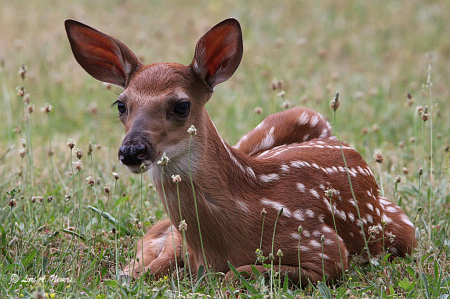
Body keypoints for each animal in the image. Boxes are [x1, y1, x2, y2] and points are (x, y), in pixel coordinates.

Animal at [66, 18, 414, 286]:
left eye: (181, 106)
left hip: (402, 230)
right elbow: (152, 266)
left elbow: (236, 274)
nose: (132, 150)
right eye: (121, 104)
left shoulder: (324, 247)